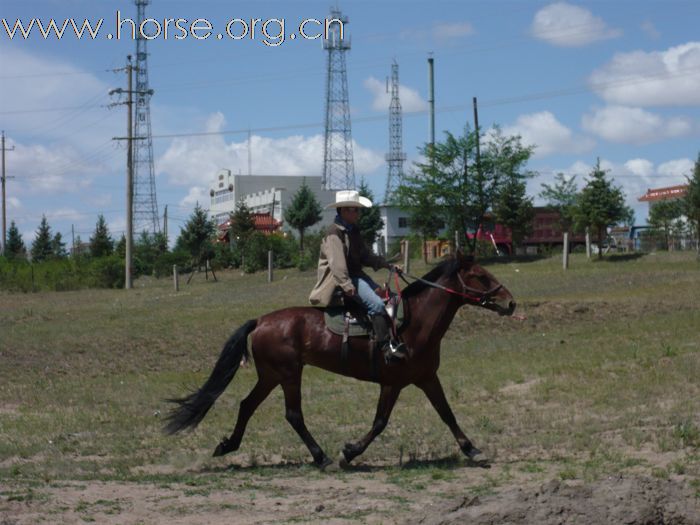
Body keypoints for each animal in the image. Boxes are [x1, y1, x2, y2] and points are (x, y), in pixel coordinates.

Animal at [164, 252, 516, 468]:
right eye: (481, 276)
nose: (510, 302)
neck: (414, 323)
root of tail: (261, 321)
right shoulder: (392, 383)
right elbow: (380, 422)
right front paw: (349, 452)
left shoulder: (426, 378)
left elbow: (446, 413)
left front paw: (472, 449)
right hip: (288, 375)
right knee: (293, 415)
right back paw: (321, 457)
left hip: (271, 376)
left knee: (247, 405)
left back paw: (229, 445)